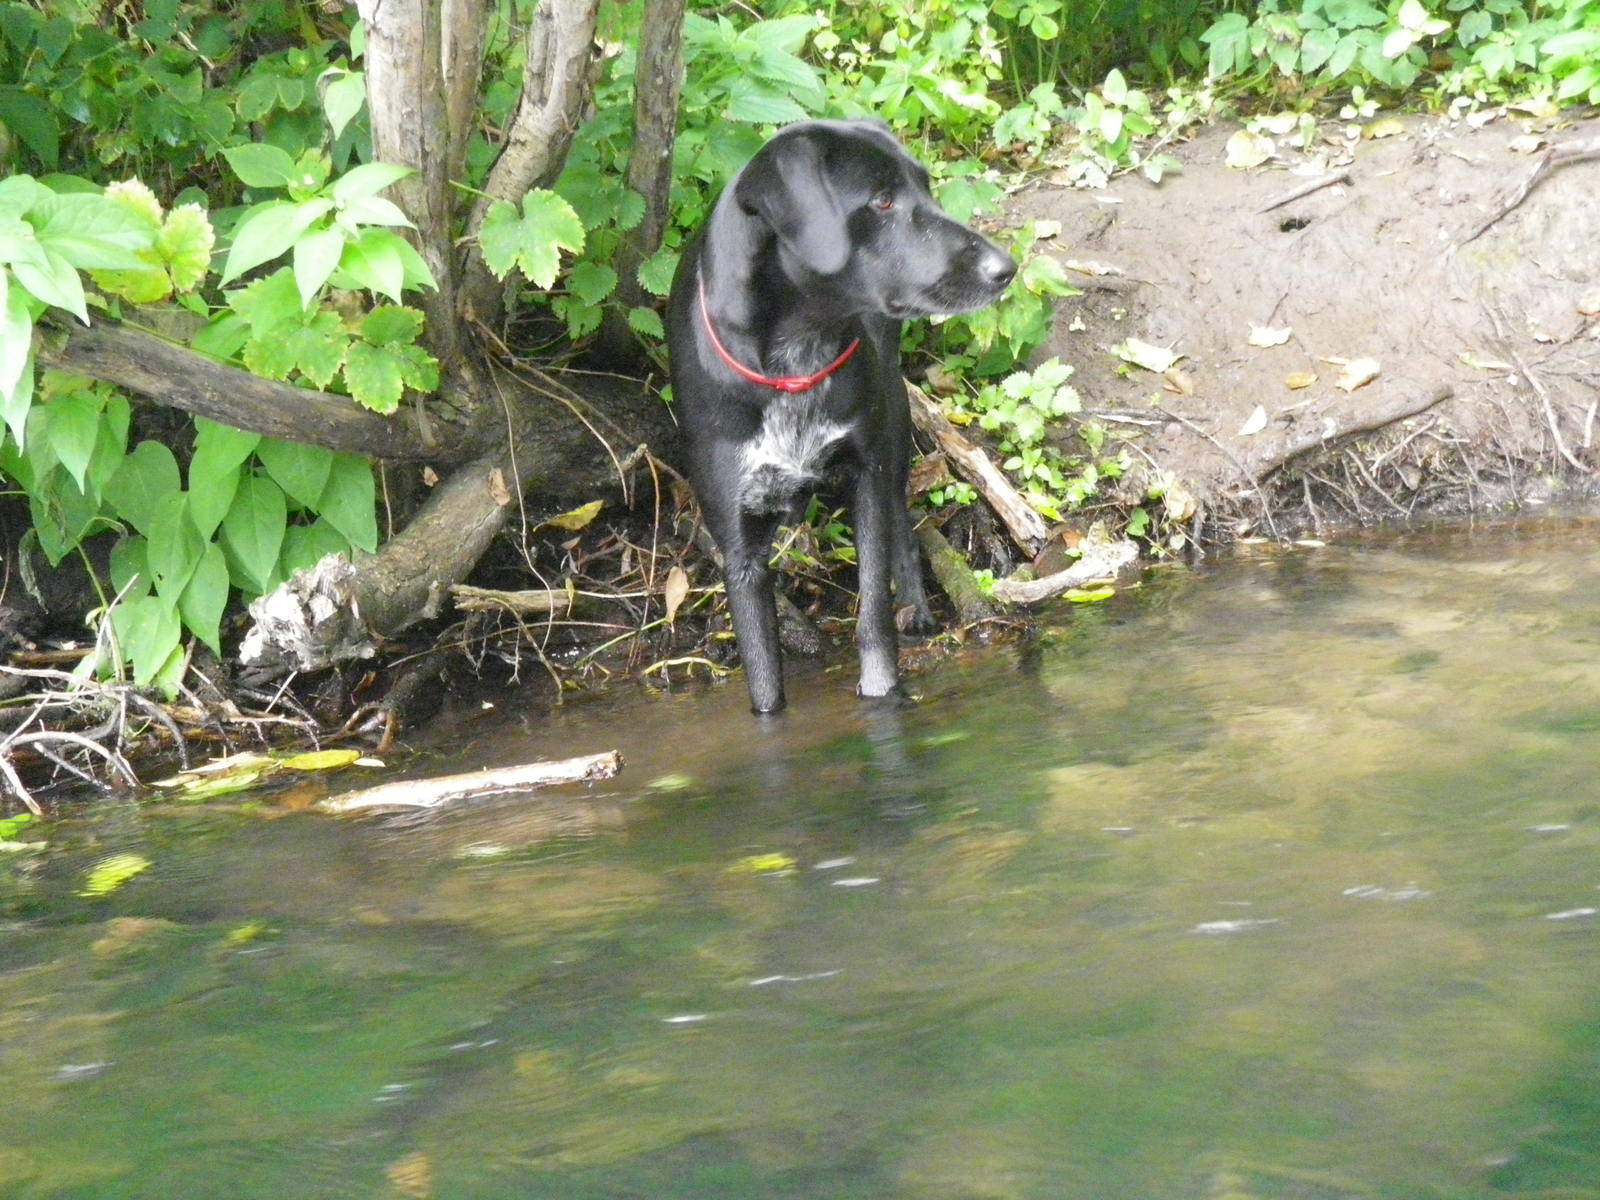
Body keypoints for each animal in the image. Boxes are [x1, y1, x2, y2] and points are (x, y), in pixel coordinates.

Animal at [668, 120, 1017, 713]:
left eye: (926, 188)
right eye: (882, 200)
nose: (1006, 268)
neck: (792, 366)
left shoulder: (867, 477)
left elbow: (874, 620)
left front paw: (883, 696)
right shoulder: (738, 550)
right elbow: (763, 679)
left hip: (893, 429)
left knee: (905, 530)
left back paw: (919, 609)